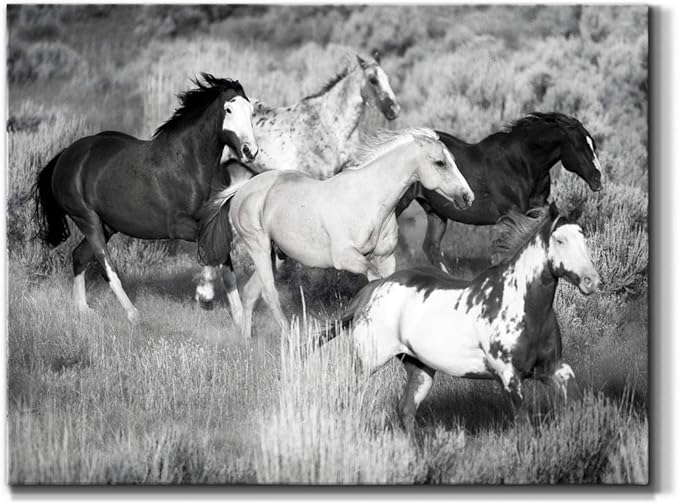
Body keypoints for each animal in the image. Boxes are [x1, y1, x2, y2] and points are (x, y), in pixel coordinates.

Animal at [32, 73, 258, 324]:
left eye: (251, 111)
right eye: (228, 109)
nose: (250, 151)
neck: (187, 164)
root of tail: (65, 156)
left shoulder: (212, 221)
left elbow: (222, 254)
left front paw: (240, 318)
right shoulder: (178, 226)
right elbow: (208, 247)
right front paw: (204, 296)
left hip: (107, 225)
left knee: (79, 256)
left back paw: (83, 310)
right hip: (87, 219)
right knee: (106, 267)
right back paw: (134, 315)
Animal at [211, 128, 475, 340]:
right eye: (440, 163)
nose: (467, 197)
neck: (370, 199)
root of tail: (242, 190)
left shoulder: (386, 259)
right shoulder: (347, 258)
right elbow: (373, 281)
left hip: (275, 254)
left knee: (250, 293)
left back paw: (246, 341)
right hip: (258, 246)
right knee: (268, 293)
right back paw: (291, 339)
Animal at [319, 203, 600, 436]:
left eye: (583, 238)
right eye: (560, 240)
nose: (592, 281)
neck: (523, 306)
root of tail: (374, 288)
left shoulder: (554, 368)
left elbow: (579, 403)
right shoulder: (509, 376)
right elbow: (524, 424)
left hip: (420, 369)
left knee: (406, 410)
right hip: (367, 363)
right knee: (350, 399)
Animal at [396, 112, 603, 272]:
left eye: (593, 145)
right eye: (579, 146)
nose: (598, 178)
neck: (520, 164)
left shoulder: (535, 212)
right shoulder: (512, 215)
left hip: (436, 212)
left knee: (431, 247)